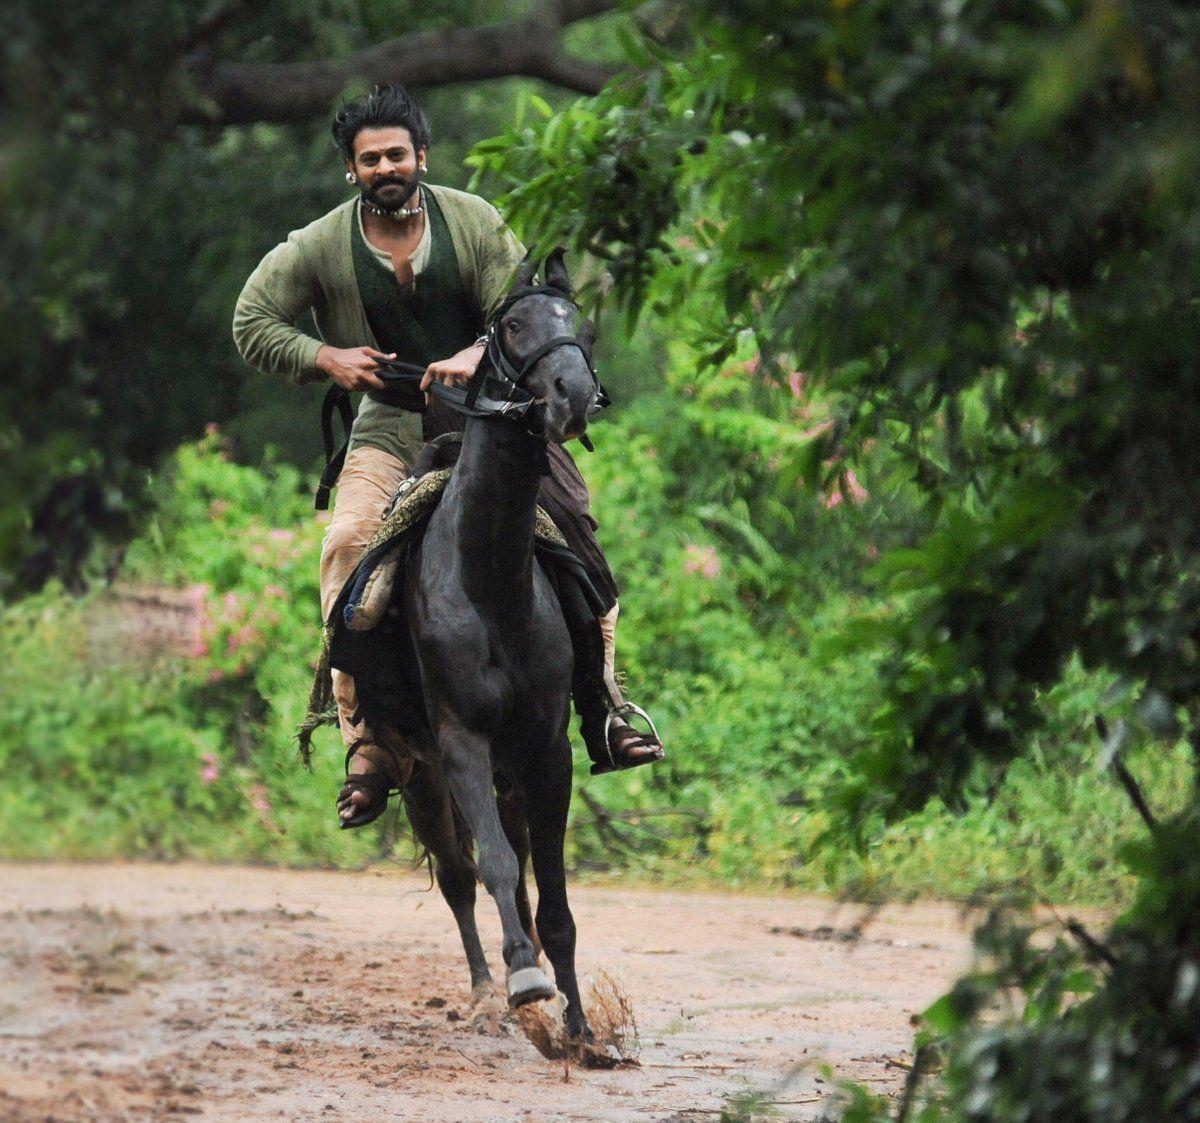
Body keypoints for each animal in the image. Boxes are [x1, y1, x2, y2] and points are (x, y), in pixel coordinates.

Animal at [396, 251, 597, 1036]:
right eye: (512, 326)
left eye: (580, 324)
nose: (575, 393)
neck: (490, 583)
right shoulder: (459, 743)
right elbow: (499, 867)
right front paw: (524, 979)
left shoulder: (547, 748)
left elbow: (554, 887)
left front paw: (579, 1026)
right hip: (415, 773)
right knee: (459, 873)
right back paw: (488, 985)